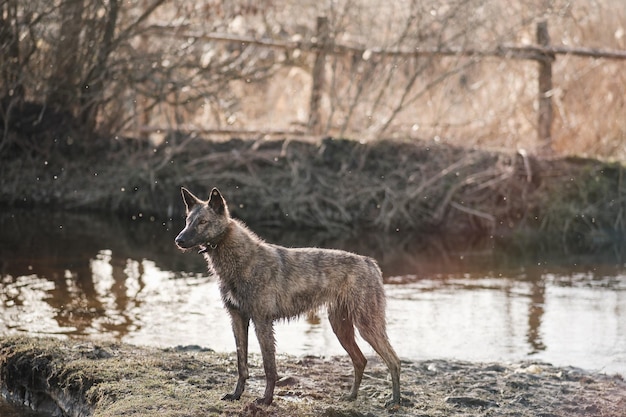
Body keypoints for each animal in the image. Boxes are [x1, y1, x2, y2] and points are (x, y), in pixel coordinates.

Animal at [176, 187, 400, 404]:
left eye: (203, 222)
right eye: (187, 221)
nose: (179, 240)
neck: (242, 260)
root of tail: (369, 262)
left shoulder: (262, 322)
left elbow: (269, 367)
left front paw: (266, 400)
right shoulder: (238, 319)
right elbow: (242, 366)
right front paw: (236, 395)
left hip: (366, 327)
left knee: (394, 361)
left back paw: (395, 401)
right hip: (341, 327)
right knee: (361, 360)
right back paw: (352, 396)